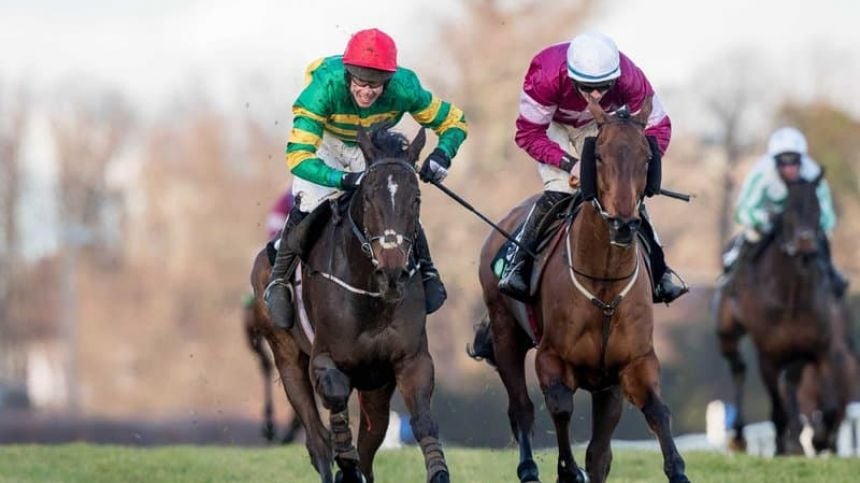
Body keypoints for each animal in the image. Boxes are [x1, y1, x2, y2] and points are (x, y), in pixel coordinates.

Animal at [249, 125, 450, 483]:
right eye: (368, 196)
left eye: (416, 198)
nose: (392, 271)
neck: (371, 296)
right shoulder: (324, 359)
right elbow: (335, 399)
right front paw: (345, 460)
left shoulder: (409, 359)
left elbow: (422, 420)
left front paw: (438, 470)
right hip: (286, 356)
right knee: (317, 439)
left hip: (376, 385)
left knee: (370, 442)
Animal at [480, 95, 688, 483]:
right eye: (599, 156)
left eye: (646, 158)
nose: (623, 224)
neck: (604, 285)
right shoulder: (551, 360)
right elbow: (560, 407)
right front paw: (567, 470)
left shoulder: (633, 365)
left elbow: (654, 414)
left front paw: (678, 471)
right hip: (505, 335)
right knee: (521, 408)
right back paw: (528, 468)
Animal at [712, 172, 852, 456]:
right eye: (789, 211)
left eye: (817, 210)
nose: (806, 245)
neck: (791, 295)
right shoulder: (769, 354)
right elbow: (777, 407)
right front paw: (780, 445)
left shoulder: (816, 347)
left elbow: (828, 407)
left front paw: (814, 439)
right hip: (727, 333)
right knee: (738, 368)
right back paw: (739, 436)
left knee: (790, 383)